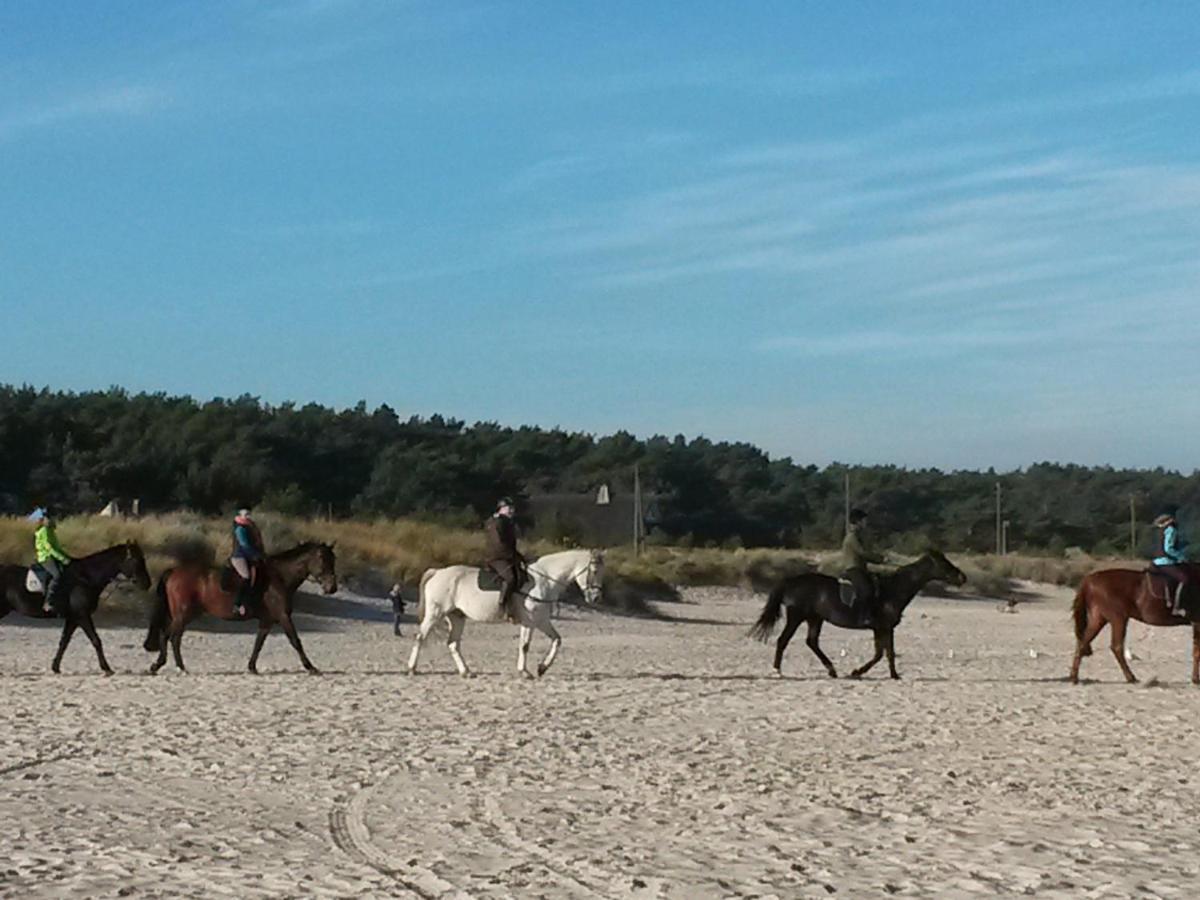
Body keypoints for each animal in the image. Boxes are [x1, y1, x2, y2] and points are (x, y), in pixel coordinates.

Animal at [0, 542, 152, 676]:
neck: (86, 577)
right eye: (136, 560)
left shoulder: (73, 618)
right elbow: (96, 640)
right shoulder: (82, 616)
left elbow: (64, 642)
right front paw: (106, 668)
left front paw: (55, 667)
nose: (147, 584)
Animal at [149, 542, 340, 676]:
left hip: (183, 615)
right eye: (323, 560)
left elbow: (259, 643)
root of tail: (174, 571)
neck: (279, 577)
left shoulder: (267, 621)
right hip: (183, 615)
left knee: (171, 637)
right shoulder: (283, 616)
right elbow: (296, 641)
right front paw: (311, 667)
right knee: (171, 637)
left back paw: (167, 666)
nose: (332, 588)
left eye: (334, 560)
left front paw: (252, 667)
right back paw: (170, 667)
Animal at [408, 549, 604, 676]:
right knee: (420, 638)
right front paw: (524, 671)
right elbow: (525, 646)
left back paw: (466, 671)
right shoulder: (530, 622)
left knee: (453, 644)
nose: (596, 598)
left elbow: (557, 640)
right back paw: (412, 668)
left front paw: (542, 668)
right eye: (594, 571)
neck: (544, 580)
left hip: (457, 617)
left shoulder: (541, 621)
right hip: (435, 614)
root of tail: (438, 572)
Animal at [748, 549, 964, 681]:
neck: (893, 589)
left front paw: (891, 675)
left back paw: (832, 670)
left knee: (812, 642)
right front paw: (859, 672)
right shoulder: (883, 627)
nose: (963, 577)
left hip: (815, 618)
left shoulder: (884, 628)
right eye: (944, 563)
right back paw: (777, 671)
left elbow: (885, 653)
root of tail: (791, 581)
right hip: (796, 617)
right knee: (783, 640)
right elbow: (883, 653)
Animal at [1070, 566, 1200, 686]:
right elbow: (1197, 652)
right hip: (1118, 619)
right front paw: (1195, 680)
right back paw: (1130, 677)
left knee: (1082, 643)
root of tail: (1090, 579)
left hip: (1098, 619)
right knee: (1116, 647)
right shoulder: (1197, 623)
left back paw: (1074, 677)